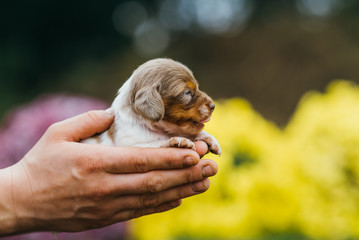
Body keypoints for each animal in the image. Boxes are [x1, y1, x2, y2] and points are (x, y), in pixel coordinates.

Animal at [82, 58, 221, 156]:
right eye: (187, 92)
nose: (213, 106)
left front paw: (212, 140)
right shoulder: (131, 145)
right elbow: (158, 142)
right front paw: (179, 141)